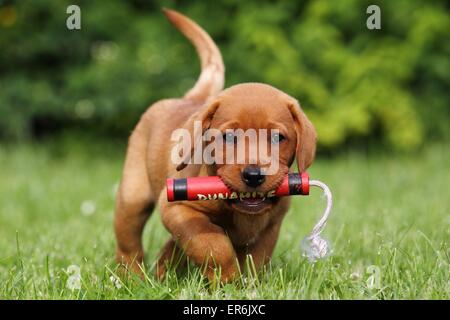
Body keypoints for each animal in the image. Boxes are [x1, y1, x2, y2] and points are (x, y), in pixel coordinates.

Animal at [114, 8, 314, 282]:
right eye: (228, 137)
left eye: (277, 138)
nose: (253, 175)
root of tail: (189, 98)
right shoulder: (177, 208)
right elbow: (212, 244)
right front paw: (227, 278)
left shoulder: (271, 226)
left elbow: (255, 261)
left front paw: (248, 284)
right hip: (133, 197)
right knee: (129, 243)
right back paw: (131, 277)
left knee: (170, 247)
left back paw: (163, 273)